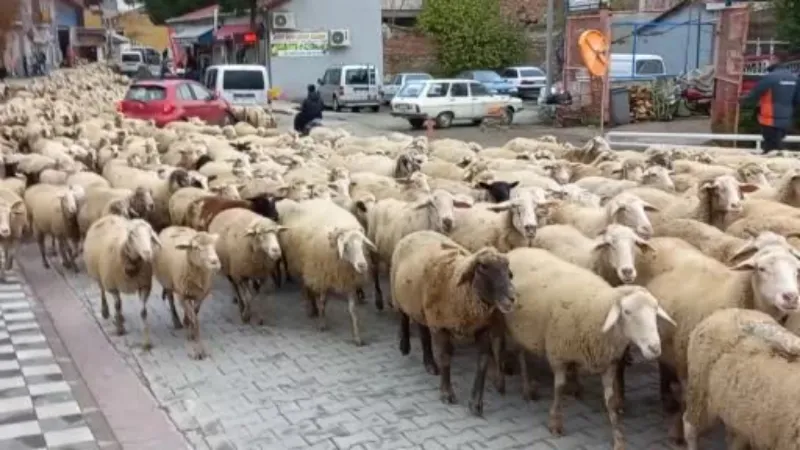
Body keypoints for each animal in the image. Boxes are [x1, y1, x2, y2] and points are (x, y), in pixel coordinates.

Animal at [83, 216, 161, 350]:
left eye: (150, 234)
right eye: (133, 234)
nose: (147, 253)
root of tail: (108, 216)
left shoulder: (144, 286)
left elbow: (143, 312)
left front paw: (146, 342)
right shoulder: (112, 285)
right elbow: (117, 305)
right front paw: (120, 329)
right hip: (98, 274)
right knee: (102, 290)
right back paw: (105, 312)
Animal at [153, 227, 220, 360]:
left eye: (214, 246)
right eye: (196, 248)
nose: (215, 262)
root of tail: (172, 226)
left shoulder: (200, 295)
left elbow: (194, 313)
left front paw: (191, 331)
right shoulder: (182, 295)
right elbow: (194, 319)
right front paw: (197, 349)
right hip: (169, 283)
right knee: (171, 300)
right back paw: (177, 322)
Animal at [390, 232, 516, 414]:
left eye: (508, 270)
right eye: (483, 267)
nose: (512, 298)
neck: (460, 291)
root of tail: (416, 233)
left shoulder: (483, 328)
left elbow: (482, 363)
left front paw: (476, 403)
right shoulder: (440, 326)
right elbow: (445, 358)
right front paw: (447, 394)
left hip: (421, 306)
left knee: (423, 332)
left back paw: (429, 364)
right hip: (400, 293)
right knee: (403, 316)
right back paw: (404, 346)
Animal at [506, 248, 676, 448]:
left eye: (655, 310)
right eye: (627, 312)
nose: (654, 348)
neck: (598, 309)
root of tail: (517, 250)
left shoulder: (608, 362)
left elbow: (610, 401)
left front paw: (618, 437)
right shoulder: (558, 354)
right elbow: (559, 389)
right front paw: (555, 422)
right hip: (517, 329)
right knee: (521, 355)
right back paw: (527, 388)